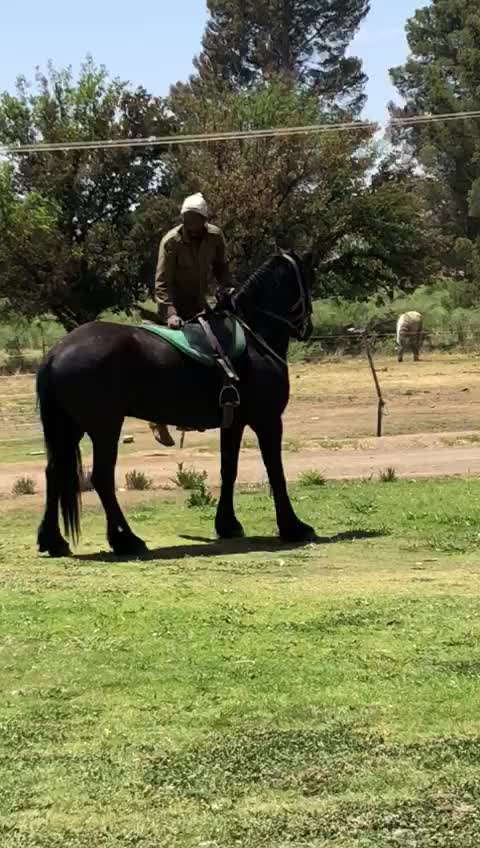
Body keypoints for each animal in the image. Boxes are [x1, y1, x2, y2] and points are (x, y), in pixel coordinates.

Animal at [36, 250, 316, 557]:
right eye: (307, 279)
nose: (308, 328)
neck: (255, 338)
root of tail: (56, 351)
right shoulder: (268, 421)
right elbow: (276, 472)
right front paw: (293, 527)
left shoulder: (234, 423)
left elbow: (228, 469)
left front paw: (227, 524)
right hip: (104, 428)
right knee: (101, 478)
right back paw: (126, 540)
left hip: (68, 428)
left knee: (55, 473)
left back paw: (53, 541)